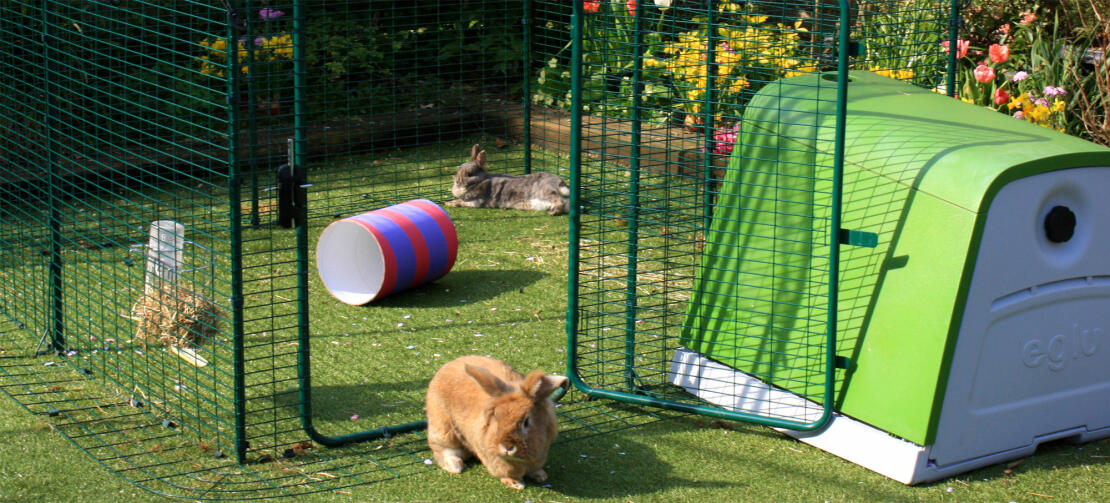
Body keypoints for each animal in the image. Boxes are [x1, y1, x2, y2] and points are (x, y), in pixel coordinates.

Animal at [425, 355, 568, 489]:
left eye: (526, 421)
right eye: (496, 417)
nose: (507, 447)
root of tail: (447, 366)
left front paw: (541, 476)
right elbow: (506, 473)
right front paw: (515, 483)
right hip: (443, 430)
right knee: (444, 450)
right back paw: (455, 466)